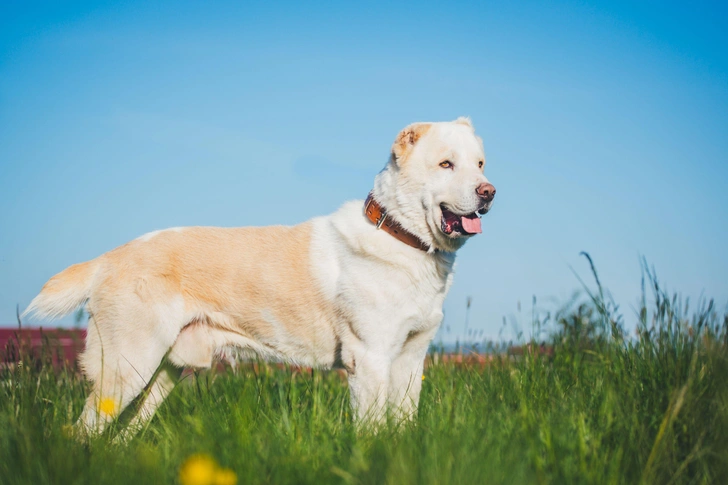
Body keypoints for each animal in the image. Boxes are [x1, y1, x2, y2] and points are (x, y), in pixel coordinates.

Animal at [25, 116, 498, 432]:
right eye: (446, 165)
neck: (403, 238)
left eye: (479, 164)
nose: (489, 192)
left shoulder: (411, 357)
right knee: (84, 431)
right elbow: (373, 429)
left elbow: (402, 425)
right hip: (127, 366)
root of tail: (109, 257)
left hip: (165, 373)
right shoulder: (369, 358)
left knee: (124, 432)